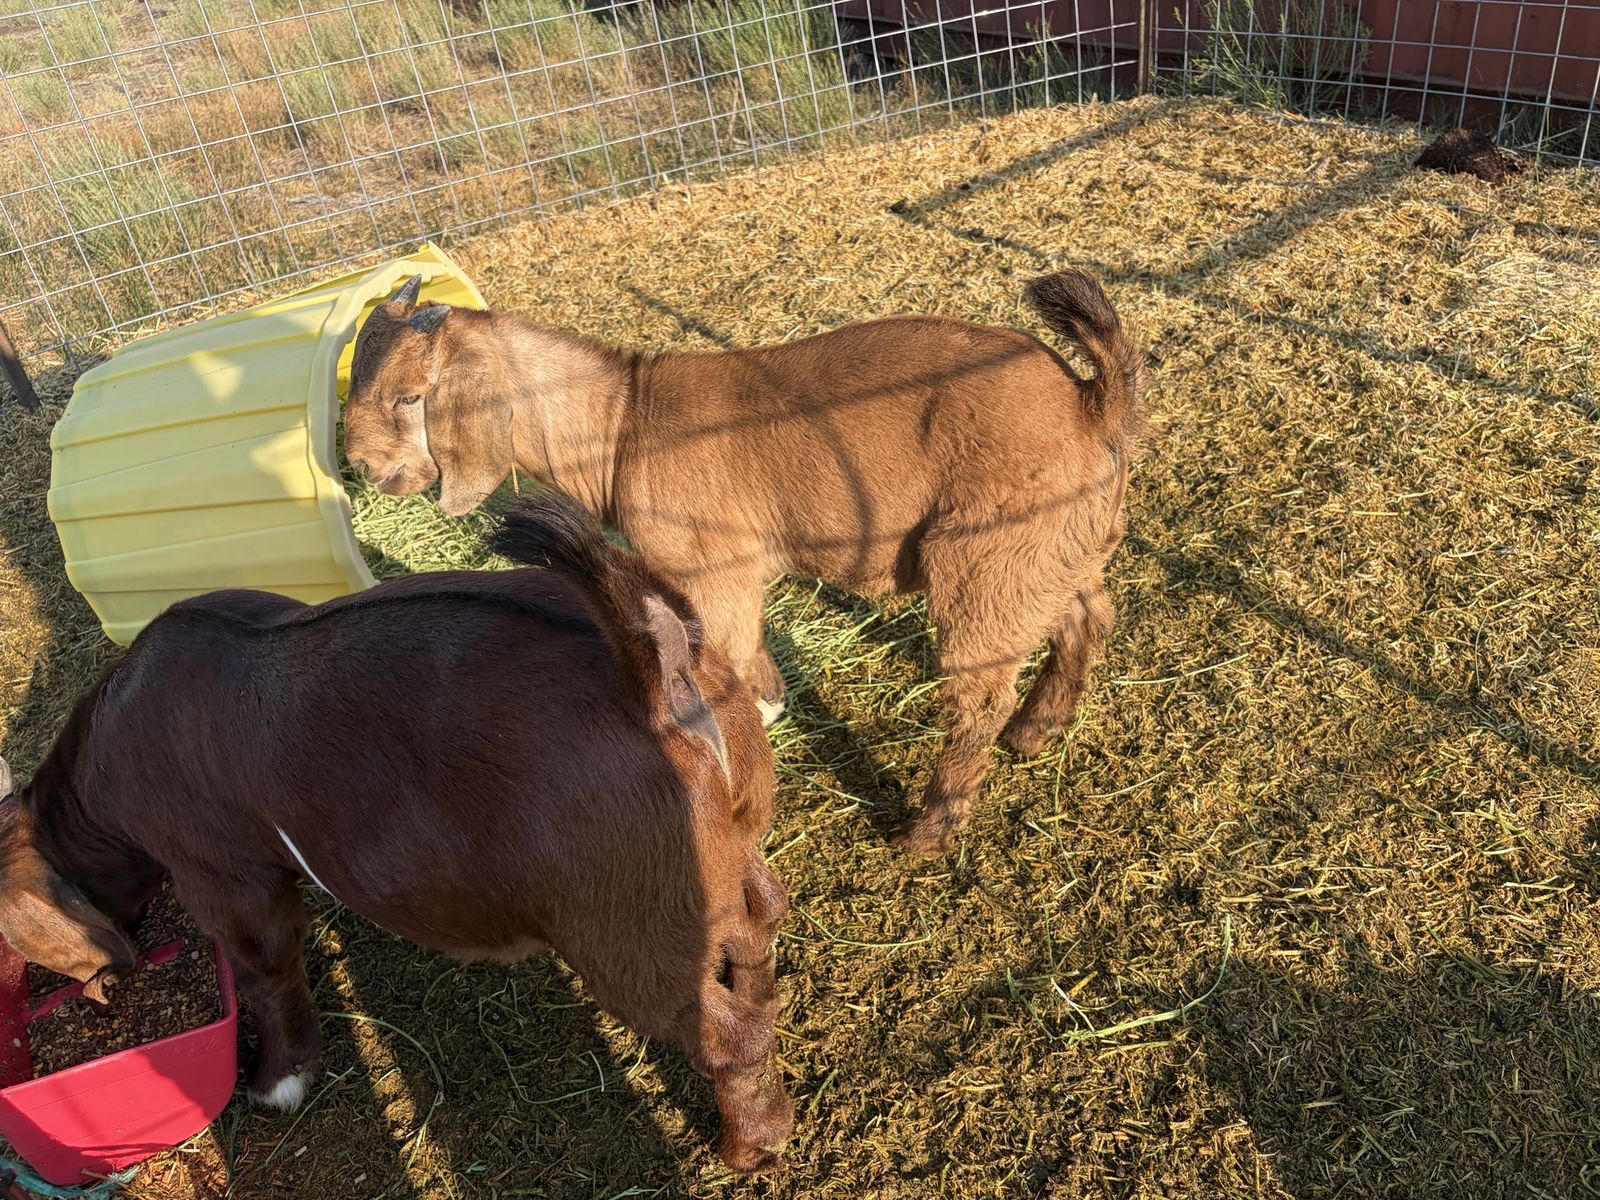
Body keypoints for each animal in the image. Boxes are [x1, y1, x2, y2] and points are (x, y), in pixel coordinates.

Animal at [0, 493, 792, 1173]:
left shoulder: (223, 876)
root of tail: (658, 669)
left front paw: (278, 1081)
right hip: (726, 849)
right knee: (760, 922)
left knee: (725, 1029)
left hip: (627, 928)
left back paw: (751, 1145)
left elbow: (266, 966)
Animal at [344, 271, 1144, 854]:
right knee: (1089, 614)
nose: (362, 467)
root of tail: (1089, 404)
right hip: (1050, 549)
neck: (621, 424)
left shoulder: (714, 572)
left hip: (986, 559)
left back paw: (927, 832)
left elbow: (716, 665)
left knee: (980, 695)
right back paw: (1037, 731)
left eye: (409, 397)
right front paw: (768, 707)